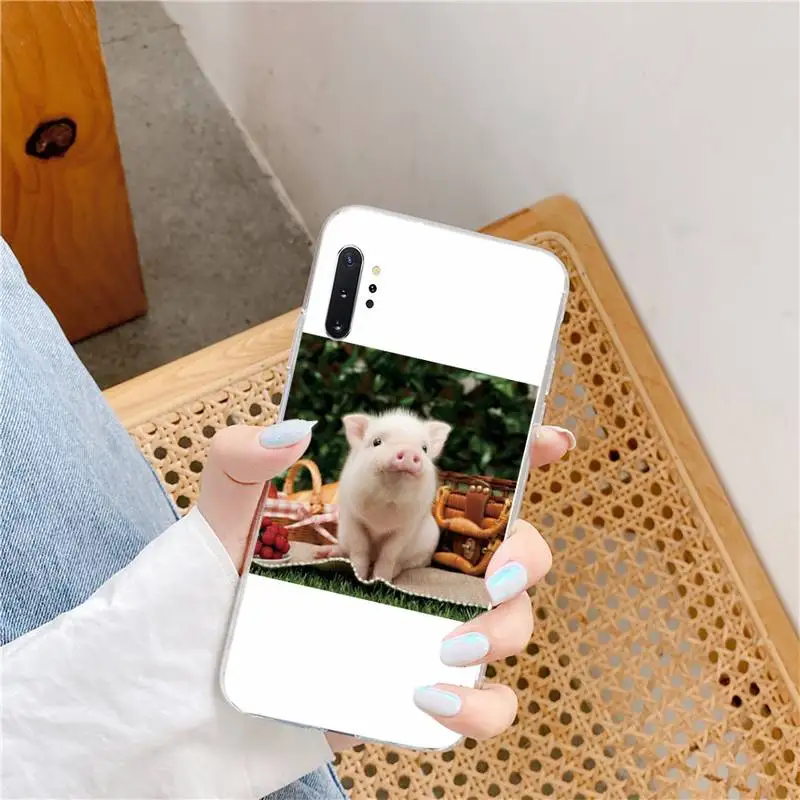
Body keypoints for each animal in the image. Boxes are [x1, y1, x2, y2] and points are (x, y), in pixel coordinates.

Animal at [315, 409, 452, 582]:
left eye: (424, 448)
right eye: (377, 441)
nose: (409, 451)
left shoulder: (407, 527)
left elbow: (389, 553)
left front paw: (381, 579)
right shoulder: (352, 517)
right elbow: (359, 549)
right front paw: (359, 576)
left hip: (427, 547)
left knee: (409, 563)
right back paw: (322, 554)